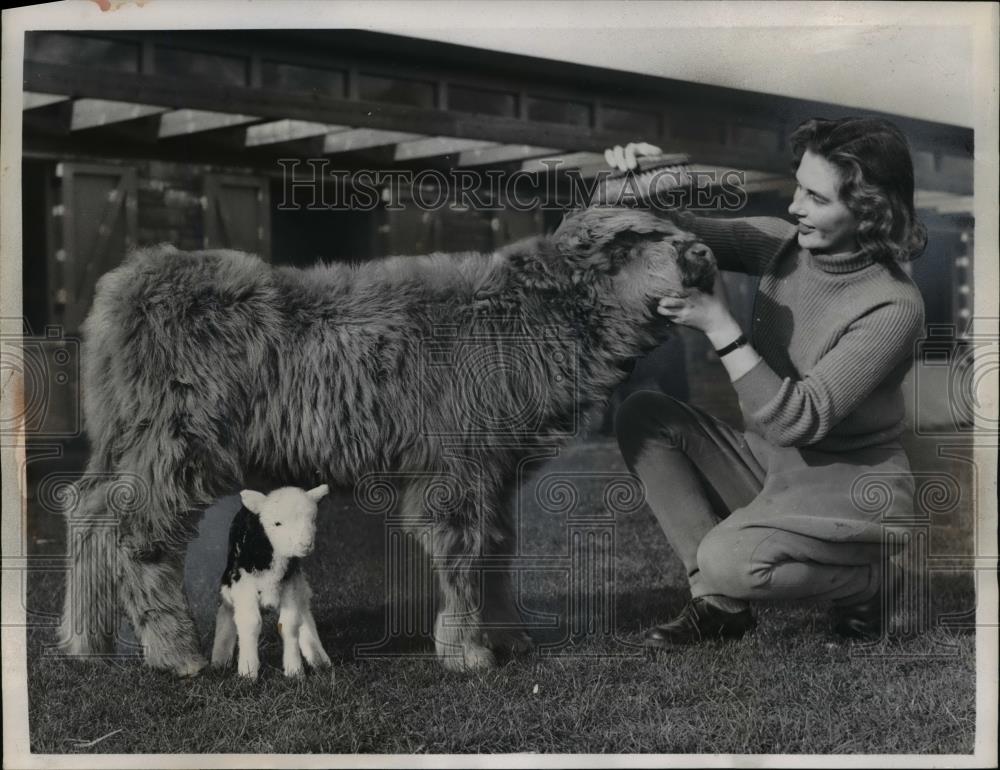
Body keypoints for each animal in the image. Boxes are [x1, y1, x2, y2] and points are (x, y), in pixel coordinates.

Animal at [211, 484, 332, 676]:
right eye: (277, 523)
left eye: (313, 520)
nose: (305, 545)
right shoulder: (243, 585)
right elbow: (250, 622)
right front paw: (248, 671)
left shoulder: (291, 583)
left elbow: (289, 624)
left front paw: (294, 671)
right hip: (230, 579)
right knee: (226, 610)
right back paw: (220, 659)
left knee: (304, 610)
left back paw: (319, 658)